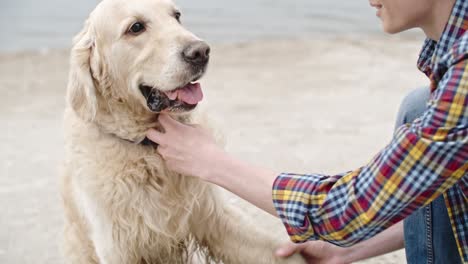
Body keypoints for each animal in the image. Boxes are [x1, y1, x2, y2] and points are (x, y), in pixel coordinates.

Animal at [60, 0, 306, 262]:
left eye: (176, 15)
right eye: (135, 27)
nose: (201, 52)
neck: (146, 147)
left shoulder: (213, 214)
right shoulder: (116, 246)